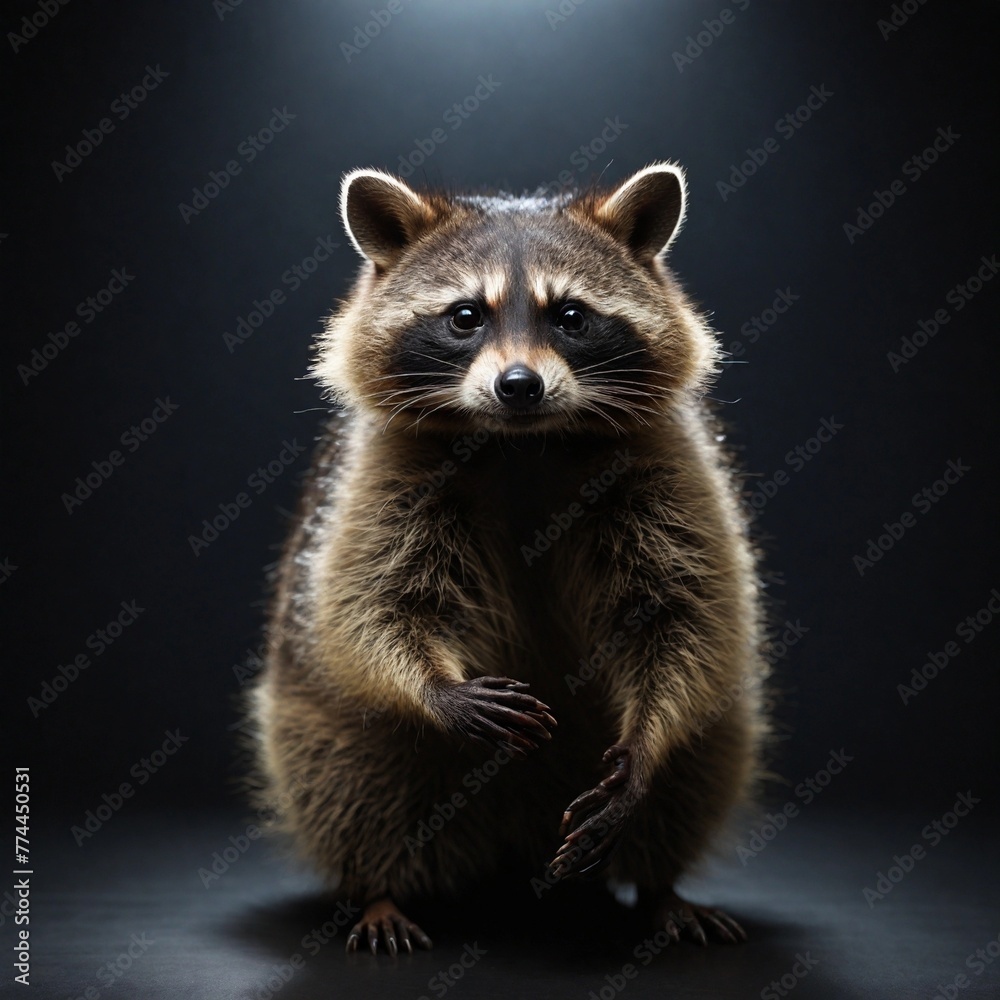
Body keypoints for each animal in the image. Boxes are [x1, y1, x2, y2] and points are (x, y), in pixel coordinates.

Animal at [251, 162, 769, 956]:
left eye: (571, 317)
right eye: (466, 316)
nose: (519, 385)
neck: (525, 441)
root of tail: (511, 846)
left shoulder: (670, 465)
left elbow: (686, 614)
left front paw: (648, 742)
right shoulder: (379, 475)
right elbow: (367, 605)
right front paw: (435, 688)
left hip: (713, 737)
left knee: (696, 776)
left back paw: (661, 886)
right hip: (317, 723)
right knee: (351, 781)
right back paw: (379, 890)